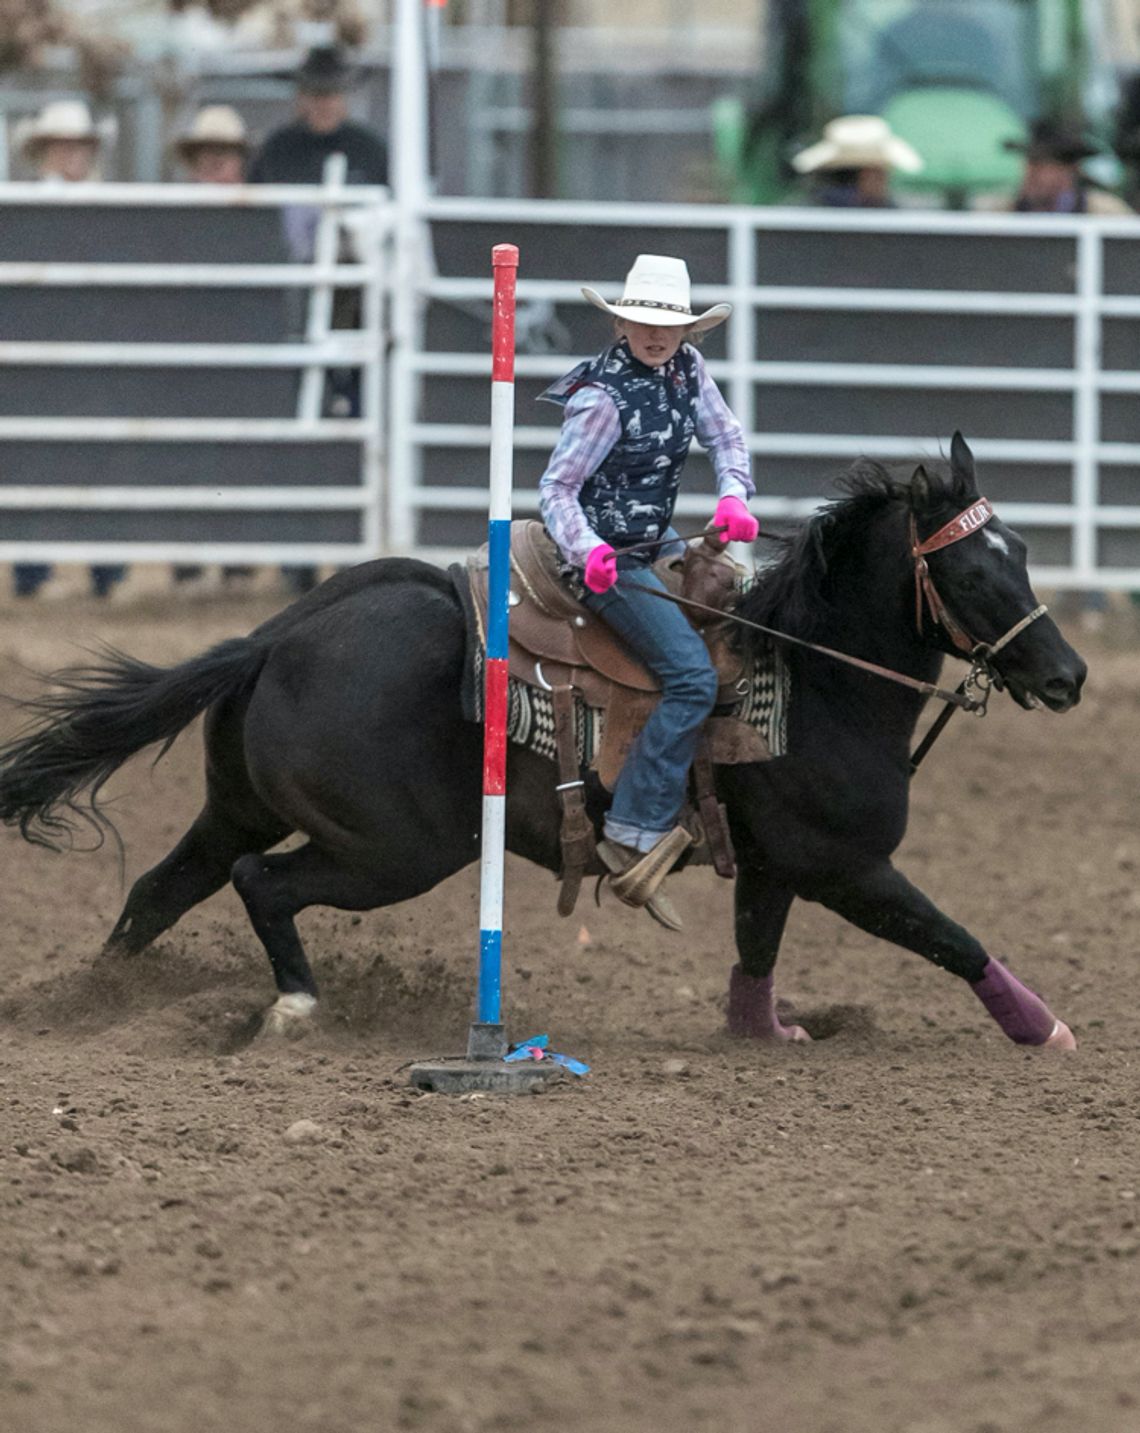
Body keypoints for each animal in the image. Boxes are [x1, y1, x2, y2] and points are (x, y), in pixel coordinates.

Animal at [0, 429, 1088, 1048]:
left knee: (160, 889)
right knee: (262, 884)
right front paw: (1043, 1027)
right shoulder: (845, 865)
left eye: (1026, 552)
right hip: (395, 849)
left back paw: (90, 1001)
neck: (810, 678)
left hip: (239, 804)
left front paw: (765, 1032)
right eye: (977, 572)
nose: (1068, 675)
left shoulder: (778, 866)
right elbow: (950, 934)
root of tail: (273, 637)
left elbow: (757, 953)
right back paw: (294, 1008)